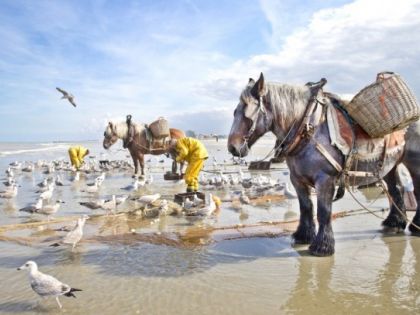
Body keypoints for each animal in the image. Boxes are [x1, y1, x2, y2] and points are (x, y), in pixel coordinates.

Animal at [228, 73, 420, 256]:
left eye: (247, 113)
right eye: (234, 111)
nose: (232, 147)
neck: (308, 128)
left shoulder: (325, 179)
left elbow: (323, 211)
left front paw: (322, 246)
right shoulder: (297, 179)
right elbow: (306, 207)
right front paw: (303, 236)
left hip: (414, 165)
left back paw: (414, 227)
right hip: (389, 167)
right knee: (395, 191)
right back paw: (394, 223)